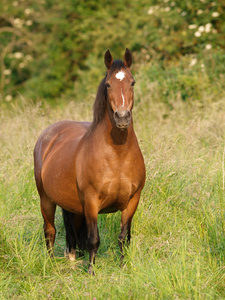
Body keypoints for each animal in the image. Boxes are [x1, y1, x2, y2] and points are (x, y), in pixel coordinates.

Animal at [33, 47, 146, 274]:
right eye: (108, 84)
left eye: (132, 82)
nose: (122, 117)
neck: (118, 156)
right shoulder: (92, 202)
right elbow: (94, 239)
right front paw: (92, 272)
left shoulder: (132, 201)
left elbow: (124, 238)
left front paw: (124, 267)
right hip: (46, 199)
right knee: (50, 231)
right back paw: (50, 264)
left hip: (73, 205)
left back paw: (72, 257)